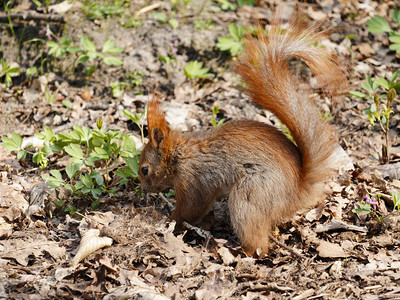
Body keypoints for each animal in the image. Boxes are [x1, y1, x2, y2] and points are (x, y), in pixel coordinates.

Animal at [138, 17, 346, 254]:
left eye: (145, 169)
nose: (143, 188)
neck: (180, 154)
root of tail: (298, 192)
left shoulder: (192, 181)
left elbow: (190, 208)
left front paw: (171, 221)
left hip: (250, 194)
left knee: (259, 244)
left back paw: (239, 251)